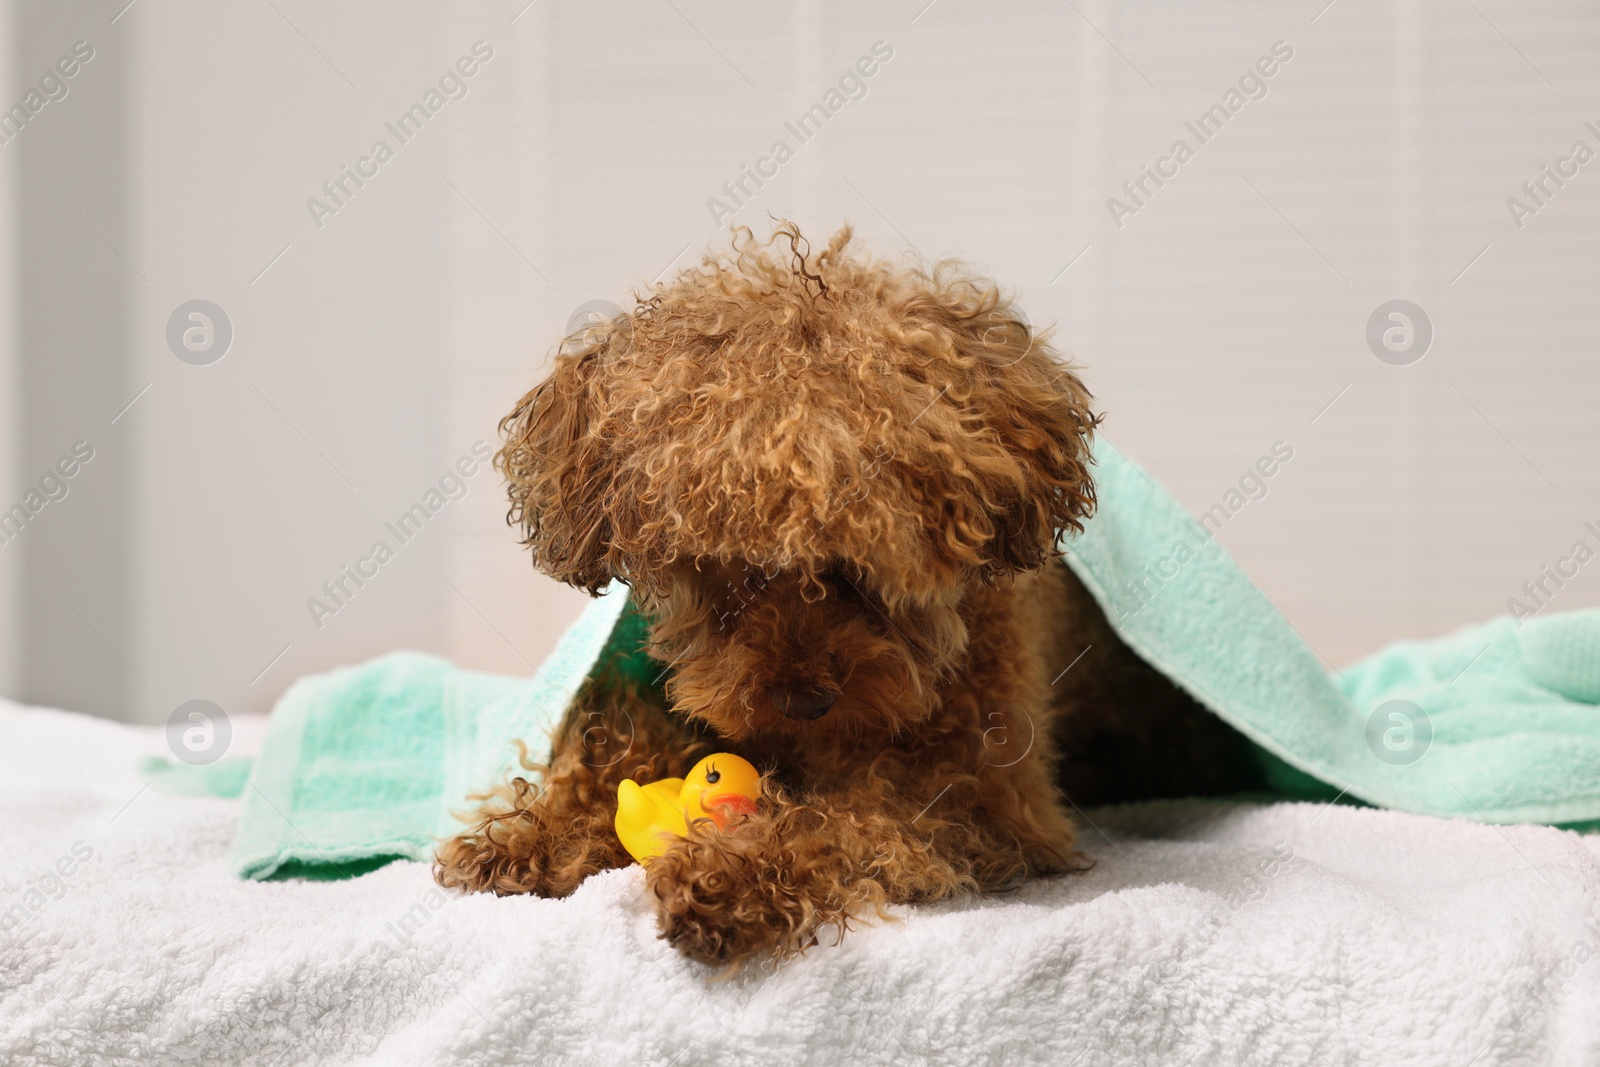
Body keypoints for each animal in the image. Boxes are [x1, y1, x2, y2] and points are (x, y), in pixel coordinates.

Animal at [438, 223, 1260, 966]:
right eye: (721, 560)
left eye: (874, 554)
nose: (803, 700)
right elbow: (613, 751)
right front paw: (531, 834)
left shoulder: (988, 798)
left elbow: (852, 821)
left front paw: (734, 876)